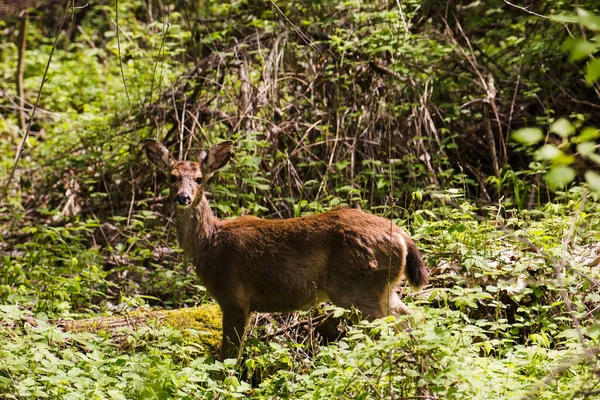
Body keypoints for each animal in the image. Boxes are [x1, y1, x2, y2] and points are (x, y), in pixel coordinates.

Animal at [143, 139, 428, 360]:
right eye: (172, 177)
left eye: (199, 179)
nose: (183, 197)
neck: (209, 242)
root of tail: (402, 236)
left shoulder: (234, 299)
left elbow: (228, 357)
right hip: (384, 289)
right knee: (412, 319)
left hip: (360, 288)